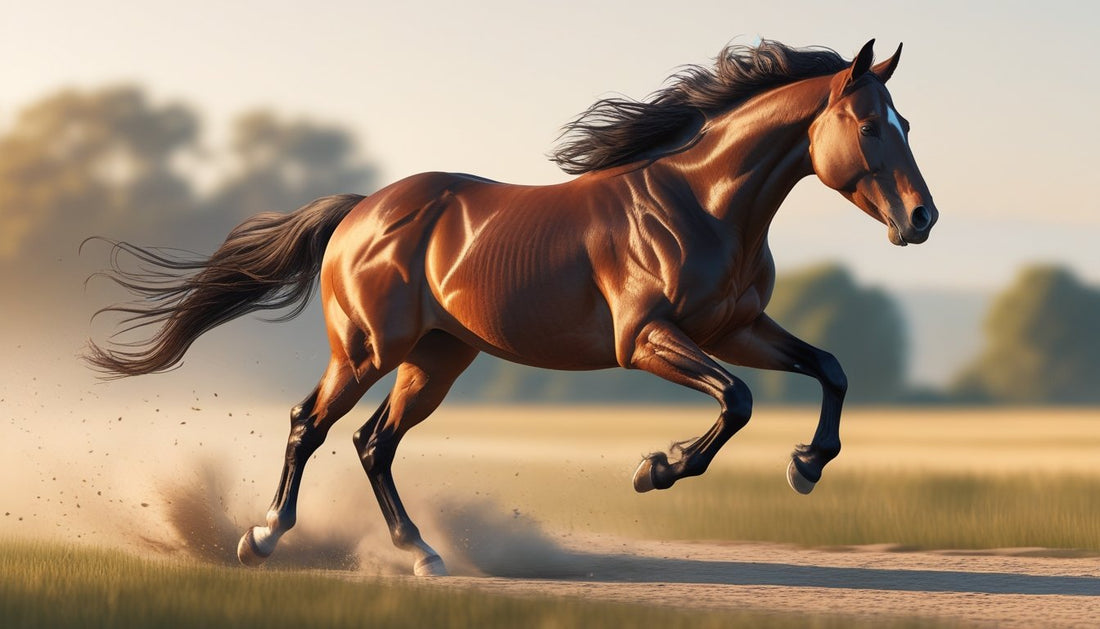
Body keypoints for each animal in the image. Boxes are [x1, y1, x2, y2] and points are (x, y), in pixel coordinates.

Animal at [86, 39, 938, 576]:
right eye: (870, 124)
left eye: (906, 122)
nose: (922, 218)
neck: (703, 206)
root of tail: (360, 211)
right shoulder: (647, 339)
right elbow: (738, 399)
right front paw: (655, 469)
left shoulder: (735, 327)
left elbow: (828, 368)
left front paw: (805, 466)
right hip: (367, 350)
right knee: (310, 424)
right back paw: (262, 537)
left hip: (436, 359)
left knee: (373, 443)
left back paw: (423, 552)